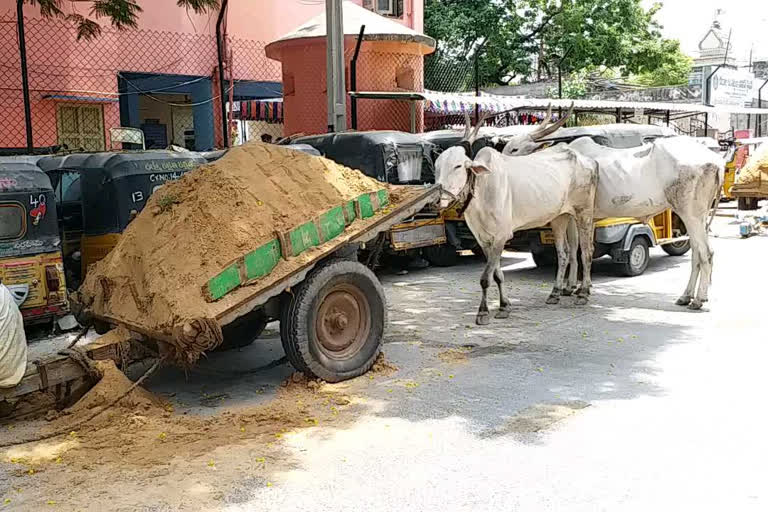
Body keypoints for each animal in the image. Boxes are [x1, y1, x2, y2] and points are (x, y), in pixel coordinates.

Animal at [436, 116, 596, 324]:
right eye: (437, 165)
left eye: (457, 166)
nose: (438, 198)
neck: (482, 188)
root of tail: (585, 159)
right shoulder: (484, 239)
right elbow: (497, 274)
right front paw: (504, 306)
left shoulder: (501, 236)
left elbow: (485, 278)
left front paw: (483, 312)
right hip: (560, 217)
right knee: (564, 253)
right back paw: (555, 293)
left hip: (584, 212)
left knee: (586, 252)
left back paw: (583, 292)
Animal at [500, 126, 724, 310]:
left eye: (514, 149)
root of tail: (717, 162)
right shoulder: (574, 216)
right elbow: (573, 249)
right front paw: (571, 287)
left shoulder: (578, 214)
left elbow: (578, 250)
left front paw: (576, 289)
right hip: (699, 217)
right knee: (697, 254)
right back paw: (686, 296)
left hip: (690, 213)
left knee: (706, 253)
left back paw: (697, 299)